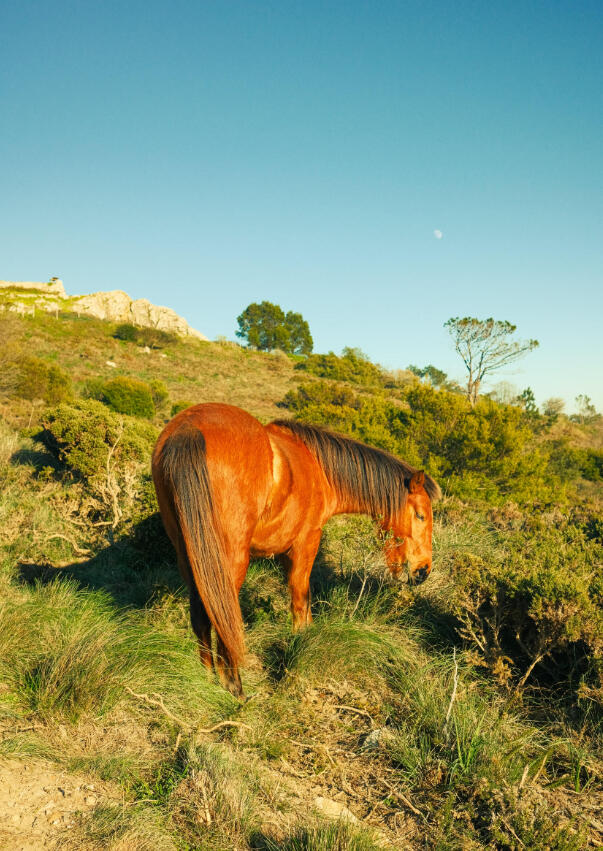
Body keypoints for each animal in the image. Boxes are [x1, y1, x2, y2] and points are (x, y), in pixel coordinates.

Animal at [152, 402, 441, 696]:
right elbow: (301, 598)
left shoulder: (284, 551)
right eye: (420, 515)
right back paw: (234, 686)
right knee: (224, 615)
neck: (320, 469)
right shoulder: (306, 543)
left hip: (190, 557)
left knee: (201, 615)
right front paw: (303, 641)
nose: (423, 571)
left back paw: (207, 677)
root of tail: (190, 429)